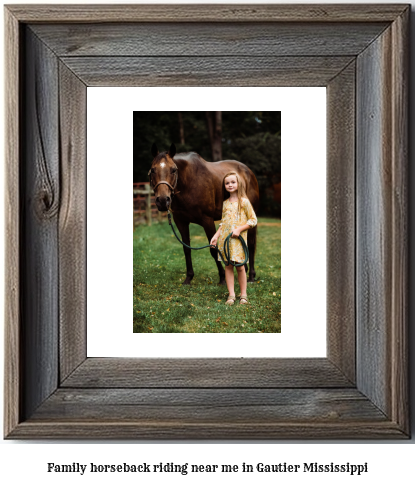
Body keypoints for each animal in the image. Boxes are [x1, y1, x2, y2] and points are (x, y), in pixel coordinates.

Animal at [150, 143, 260, 284]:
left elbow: (213, 249)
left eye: (173, 170)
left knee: (250, 244)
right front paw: (188, 278)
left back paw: (251, 276)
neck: (189, 182)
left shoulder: (207, 220)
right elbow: (186, 249)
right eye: (153, 170)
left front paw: (222, 278)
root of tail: (248, 171)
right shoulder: (181, 221)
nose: (163, 200)